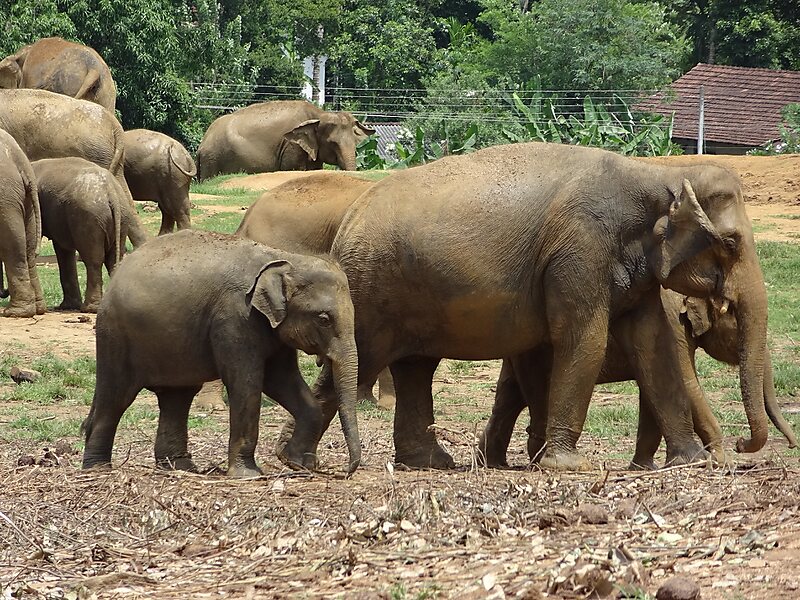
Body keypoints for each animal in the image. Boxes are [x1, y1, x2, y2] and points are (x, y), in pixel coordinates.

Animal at [31, 158, 125, 313]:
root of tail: (111, 191)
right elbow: (63, 249)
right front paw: (67, 306)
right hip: (122, 217)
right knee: (113, 259)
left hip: (88, 218)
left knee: (93, 259)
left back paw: (89, 309)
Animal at [81, 229, 361, 476]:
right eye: (323, 319)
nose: (345, 471)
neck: (284, 257)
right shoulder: (234, 318)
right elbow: (248, 384)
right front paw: (249, 475)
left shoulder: (273, 329)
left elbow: (282, 380)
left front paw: (296, 463)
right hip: (115, 336)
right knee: (116, 397)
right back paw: (98, 469)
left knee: (177, 398)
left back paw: (180, 468)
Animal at [196, 100, 375, 180]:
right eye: (332, 143)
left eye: (356, 142)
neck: (318, 114)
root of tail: (202, 144)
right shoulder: (291, 145)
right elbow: (294, 169)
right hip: (212, 161)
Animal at [478, 289, 798, 470]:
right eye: (738, 324)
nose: (741, 444)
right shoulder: (673, 326)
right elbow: (688, 385)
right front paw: (720, 461)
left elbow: (653, 389)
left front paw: (644, 467)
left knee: (508, 399)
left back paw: (492, 463)